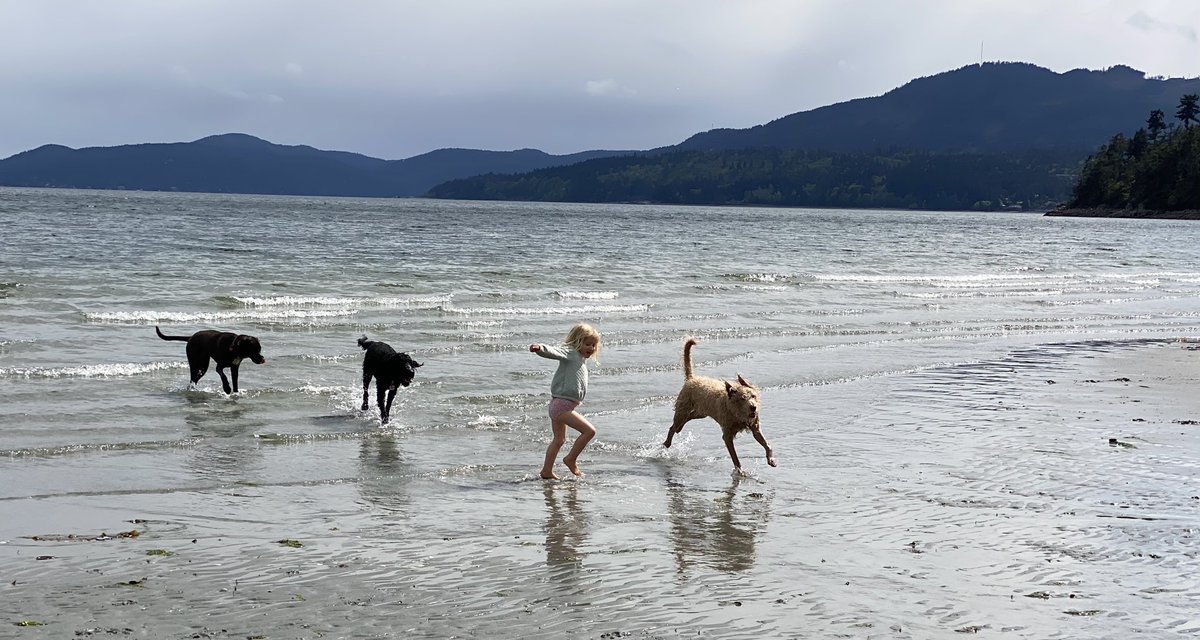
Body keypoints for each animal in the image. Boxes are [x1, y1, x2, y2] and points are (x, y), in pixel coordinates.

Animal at [662, 336, 772, 470]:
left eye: (753, 396)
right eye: (742, 398)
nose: (753, 407)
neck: (735, 412)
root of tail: (691, 379)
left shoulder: (754, 426)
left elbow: (765, 443)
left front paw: (771, 459)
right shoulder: (727, 435)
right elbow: (735, 457)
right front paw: (740, 470)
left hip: (701, 412)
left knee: (688, 418)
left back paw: (679, 429)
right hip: (683, 409)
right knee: (673, 426)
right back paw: (667, 442)